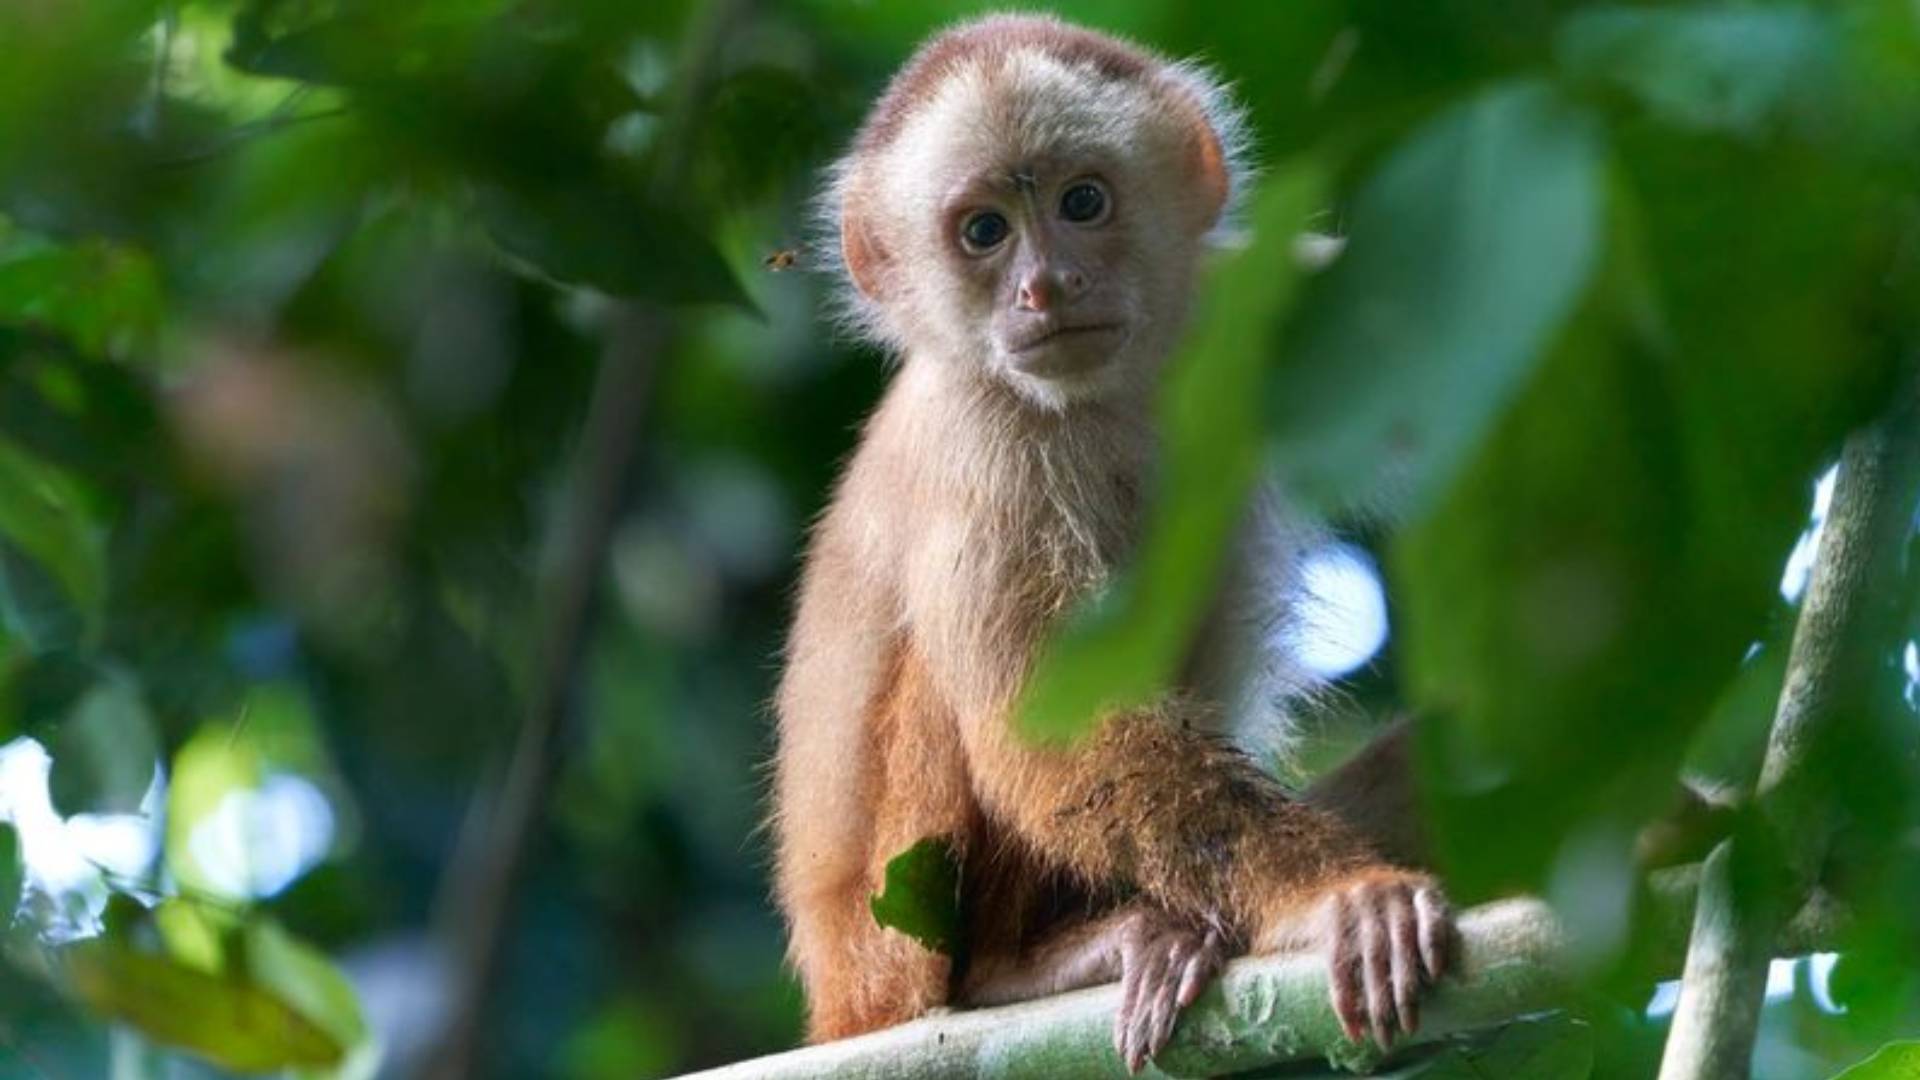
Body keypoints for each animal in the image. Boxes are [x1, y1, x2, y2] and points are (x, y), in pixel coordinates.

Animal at [770, 15, 1453, 1073]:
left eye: (1081, 201)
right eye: (984, 231)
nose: (1046, 286)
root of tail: (837, 1005)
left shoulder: (1251, 294)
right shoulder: (984, 442)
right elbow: (1044, 723)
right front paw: (1336, 900)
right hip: (886, 962)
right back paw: (1016, 969)